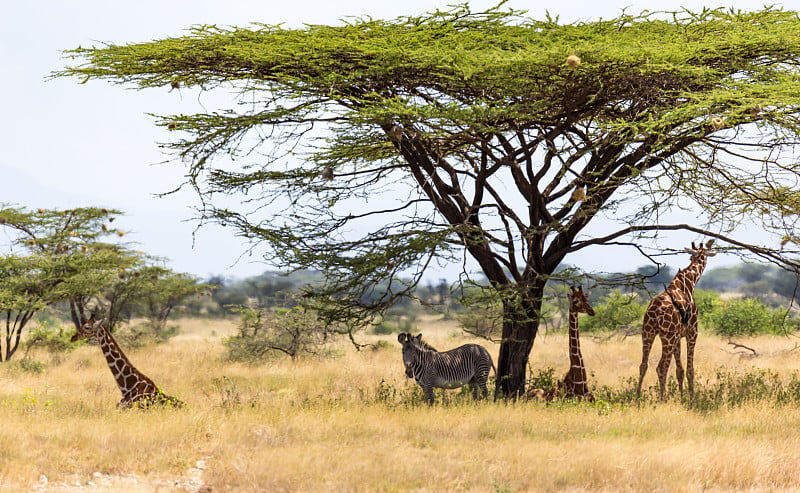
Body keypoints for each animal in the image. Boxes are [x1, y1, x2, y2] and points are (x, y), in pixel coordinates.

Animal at [636, 239, 720, 400]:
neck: (688, 283)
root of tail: (655, 312)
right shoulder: (692, 332)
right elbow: (690, 369)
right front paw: (691, 398)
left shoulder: (678, 336)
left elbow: (679, 370)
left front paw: (681, 398)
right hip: (666, 337)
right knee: (661, 367)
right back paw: (662, 399)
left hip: (648, 333)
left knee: (643, 365)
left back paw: (637, 398)